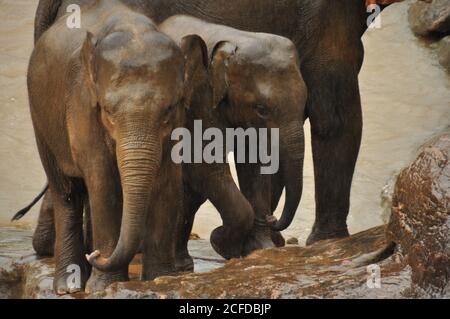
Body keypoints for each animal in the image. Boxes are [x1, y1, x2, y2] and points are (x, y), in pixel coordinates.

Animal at [29, 0, 208, 296]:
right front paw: (104, 286)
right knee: (66, 192)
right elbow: (103, 184)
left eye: (169, 109)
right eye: (108, 111)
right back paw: (69, 286)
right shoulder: (83, 106)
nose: (96, 255)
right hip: (41, 119)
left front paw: (162, 279)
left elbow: (168, 184)